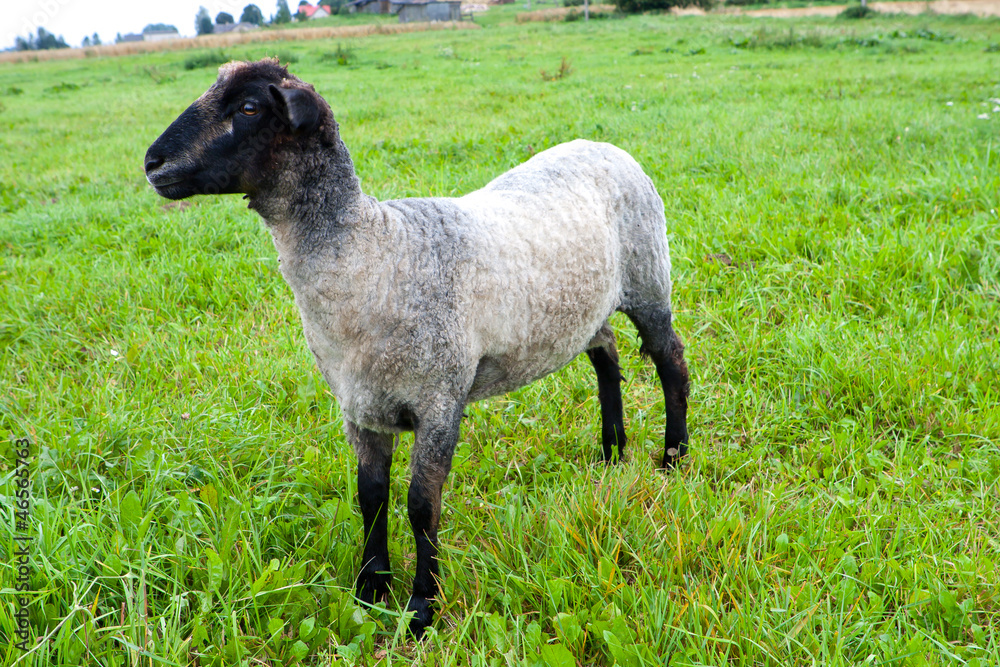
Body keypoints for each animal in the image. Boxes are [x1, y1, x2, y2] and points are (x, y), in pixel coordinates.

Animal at [144, 58, 690, 638]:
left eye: (248, 107)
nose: (152, 162)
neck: (377, 253)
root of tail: (603, 145)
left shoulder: (439, 400)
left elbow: (421, 506)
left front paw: (422, 607)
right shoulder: (361, 407)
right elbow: (371, 498)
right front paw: (370, 589)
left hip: (648, 280)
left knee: (671, 363)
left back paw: (672, 458)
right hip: (585, 308)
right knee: (606, 355)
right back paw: (611, 453)